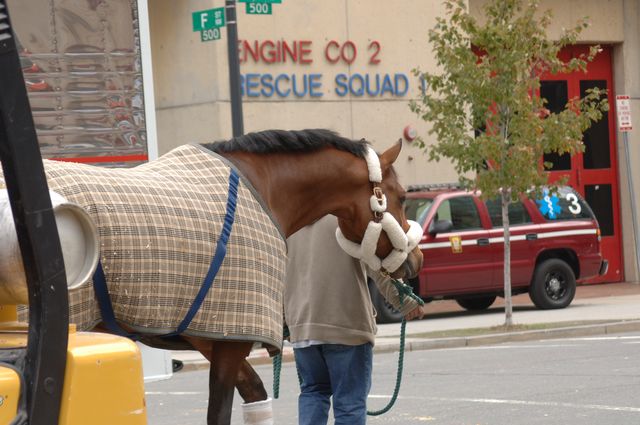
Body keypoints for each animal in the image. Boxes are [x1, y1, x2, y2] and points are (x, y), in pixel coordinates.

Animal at [2, 127, 422, 422]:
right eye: (402, 196)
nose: (416, 261)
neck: (264, 187)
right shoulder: (230, 340)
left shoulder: (211, 333)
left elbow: (254, 393)